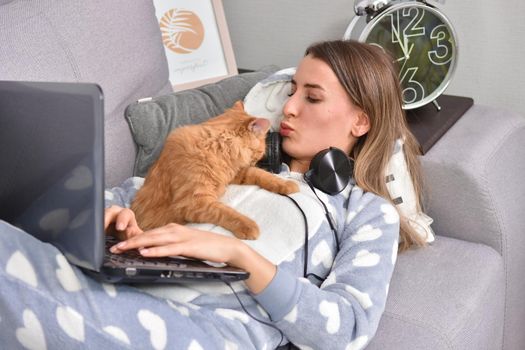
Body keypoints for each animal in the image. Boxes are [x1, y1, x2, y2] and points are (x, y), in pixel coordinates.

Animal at [131, 100, 298, 239]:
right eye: (260, 153)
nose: (256, 161)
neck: (213, 147)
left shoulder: (234, 174)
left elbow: (262, 174)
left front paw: (286, 184)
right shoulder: (195, 202)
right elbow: (225, 212)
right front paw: (248, 226)